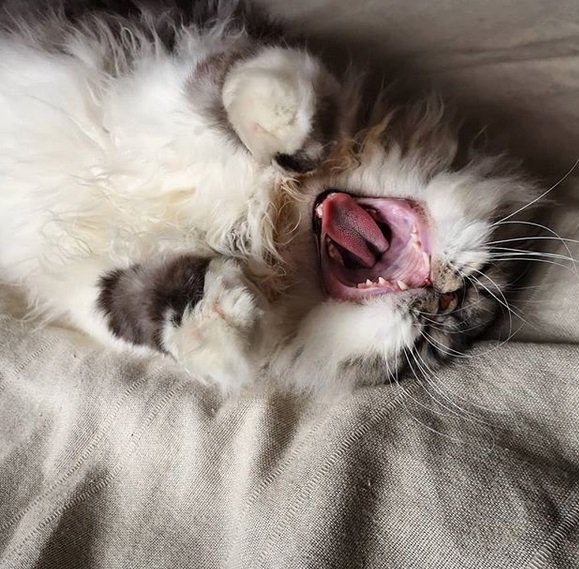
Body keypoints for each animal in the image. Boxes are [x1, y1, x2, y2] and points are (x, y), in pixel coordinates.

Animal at [0, 0, 540, 392]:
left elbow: (137, 300)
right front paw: (283, 124)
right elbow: (266, 87)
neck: (278, 223)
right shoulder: (186, 64)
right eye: (476, 291)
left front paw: (221, 324)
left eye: (431, 345)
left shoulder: (82, 280)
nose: (445, 301)